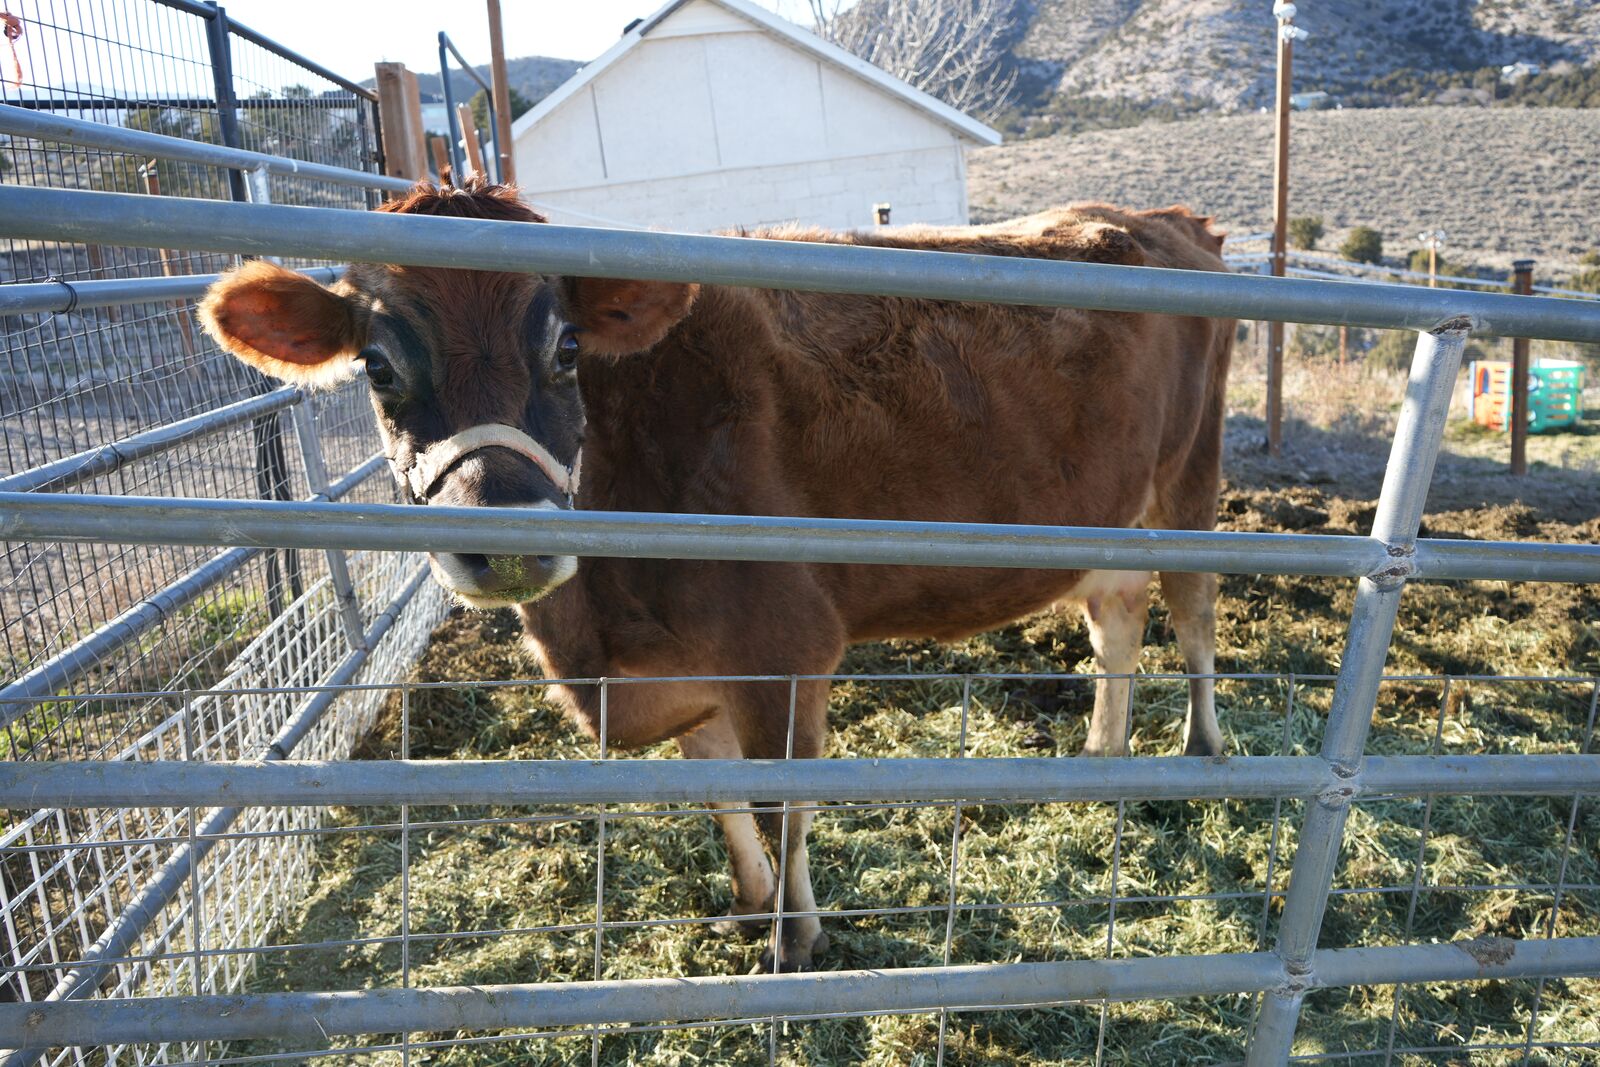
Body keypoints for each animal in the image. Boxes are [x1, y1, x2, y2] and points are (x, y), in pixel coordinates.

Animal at [198, 180, 1234, 972]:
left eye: (567, 348)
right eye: (376, 366)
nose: (508, 542)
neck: (603, 628)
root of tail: (1163, 214)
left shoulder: (782, 642)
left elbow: (780, 800)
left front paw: (794, 938)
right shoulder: (684, 667)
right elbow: (721, 796)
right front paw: (749, 905)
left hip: (1191, 481)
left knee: (1192, 615)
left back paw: (1203, 749)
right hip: (1111, 516)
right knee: (1116, 619)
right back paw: (1097, 760)